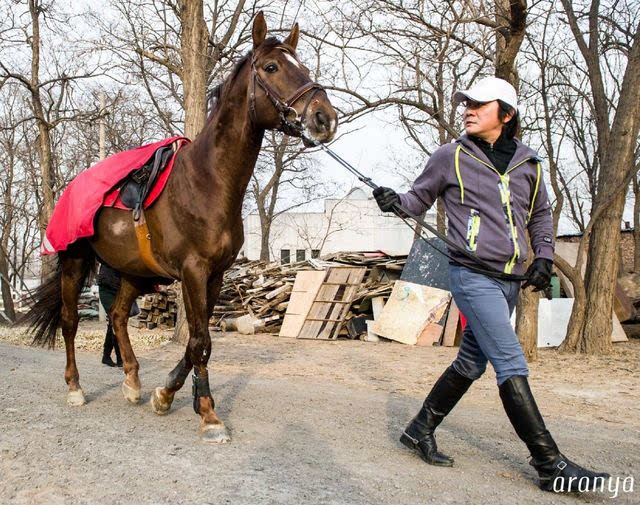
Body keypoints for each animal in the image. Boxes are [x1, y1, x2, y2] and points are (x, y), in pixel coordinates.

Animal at [22, 12, 338, 440]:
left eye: (302, 66)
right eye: (272, 67)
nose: (325, 118)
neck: (208, 183)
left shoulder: (215, 276)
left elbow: (197, 343)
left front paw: (166, 394)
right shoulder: (193, 271)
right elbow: (200, 339)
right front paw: (207, 413)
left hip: (132, 271)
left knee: (118, 316)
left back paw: (132, 381)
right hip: (75, 262)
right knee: (71, 322)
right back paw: (75, 388)